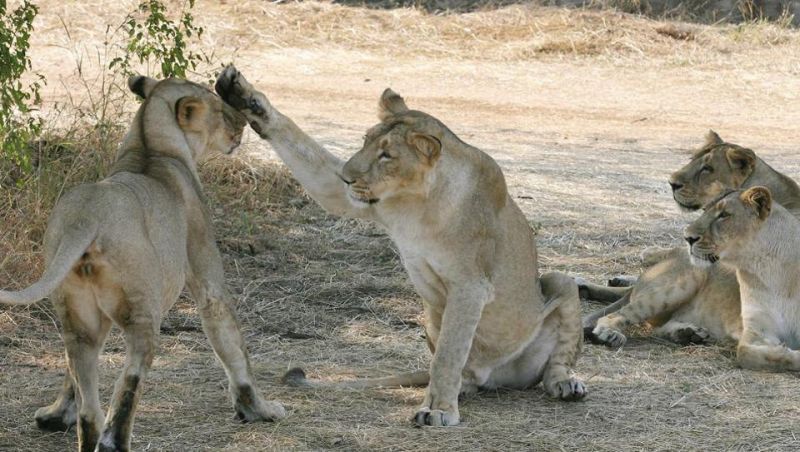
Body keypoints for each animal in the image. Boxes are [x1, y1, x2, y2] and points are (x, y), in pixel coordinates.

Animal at [0, 76, 286, 451]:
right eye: (220, 109)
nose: (241, 123)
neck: (151, 146)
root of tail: (86, 217)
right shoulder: (206, 273)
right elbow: (232, 344)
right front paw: (260, 410)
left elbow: (71, 378)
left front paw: (55, 415)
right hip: (143, 312)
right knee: (130, 380)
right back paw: (114, 441)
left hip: (77, 316)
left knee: (89, 405)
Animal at [215, 65, 586, 427]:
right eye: (365, 141)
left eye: (387, 155)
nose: (347, 177)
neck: (417, 203)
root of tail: (495, 377)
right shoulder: (354, 200)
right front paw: (246, 98)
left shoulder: (470, 284)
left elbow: (448, 354)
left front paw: (437, 410)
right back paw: (464, 387)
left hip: (559, 282)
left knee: (556, 359)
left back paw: (565, 383)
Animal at [685, 187, 800, 371]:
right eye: (704, 210)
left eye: (724, 214)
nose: (687, 237)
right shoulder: (757, 327)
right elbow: (745, 353)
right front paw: (786, 352)